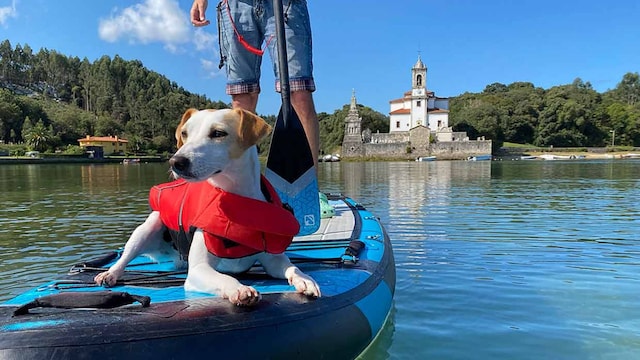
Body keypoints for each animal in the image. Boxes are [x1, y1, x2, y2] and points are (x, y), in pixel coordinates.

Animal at [94, 108, 320, 306]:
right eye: (184, 133)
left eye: (218, 133)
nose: (176, 162)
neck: (236, 199)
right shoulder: (198, 270)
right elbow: (225, 278)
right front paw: (239, 289)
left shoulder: (273, 259)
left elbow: (291, 267)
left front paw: (304, 279)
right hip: (148, 228)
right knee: (126, 255)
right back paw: (110, 273)